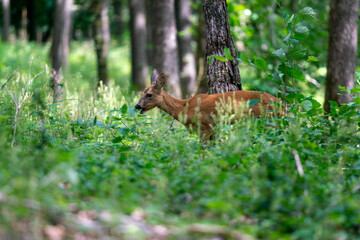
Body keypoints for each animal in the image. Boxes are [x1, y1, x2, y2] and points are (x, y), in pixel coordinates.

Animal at [135, 69, 284, 141]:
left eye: (149, 94)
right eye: (142, 92)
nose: (137, 106)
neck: (184, 108)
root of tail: (283, 107)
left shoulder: (204, 127)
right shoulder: (213, 129)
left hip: (266, 121)